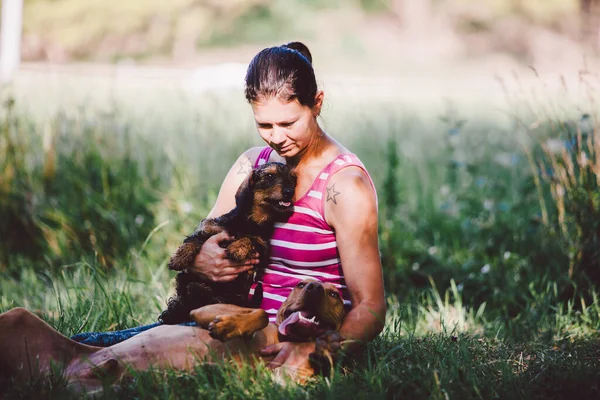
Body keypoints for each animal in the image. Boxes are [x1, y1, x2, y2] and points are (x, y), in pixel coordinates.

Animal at [0, 280, 344, 392]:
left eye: (335, 294)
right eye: (299, 286)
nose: (314, 287)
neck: (285, 340)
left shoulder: (280, 380)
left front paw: (325, 351)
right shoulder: (205, 309)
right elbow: (257, 312)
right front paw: (230, 326)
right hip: (16, 316)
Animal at [159, 162, 298, 324]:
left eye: (292, 178)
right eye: (270, 175)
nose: (289, 192)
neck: (250, 221)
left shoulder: (262, 247)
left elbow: (250, 239)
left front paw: (236, 248)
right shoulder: (210, 228)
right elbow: (194, 239)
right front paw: (178, 258)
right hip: (186, 280)